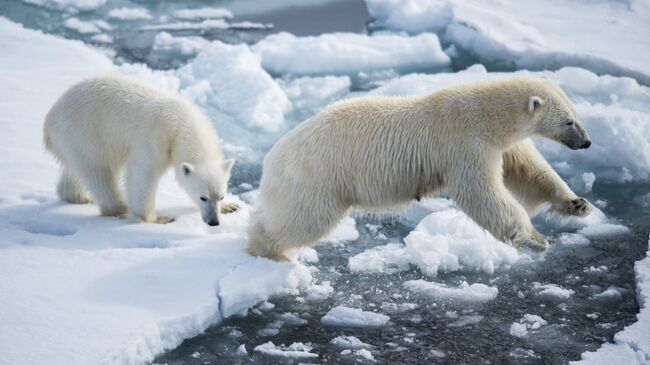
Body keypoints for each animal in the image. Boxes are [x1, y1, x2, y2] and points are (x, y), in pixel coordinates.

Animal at [45, 74, 238, 225]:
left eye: (221, 196)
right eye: (203, 197)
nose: (214, 222)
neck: (183, 123)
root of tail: (50, 119)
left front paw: (230, 207)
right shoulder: (156, 137)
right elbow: (143, 173)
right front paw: (157, 218)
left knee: (76, 171)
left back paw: (78, 196)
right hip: (86, 132)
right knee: (99, 172)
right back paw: (119, 208)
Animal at [246, 77, 588, 260]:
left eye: (576, 114)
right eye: (569, 121)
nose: (587, 142)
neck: (487, 114)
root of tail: (273, 155)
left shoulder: (503, 144)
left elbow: (530, 171)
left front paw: (577, 203)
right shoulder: (465, 143)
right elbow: (482, 192)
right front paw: (537, 238)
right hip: (317, 175)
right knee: (304, 217)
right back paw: (268, 249)